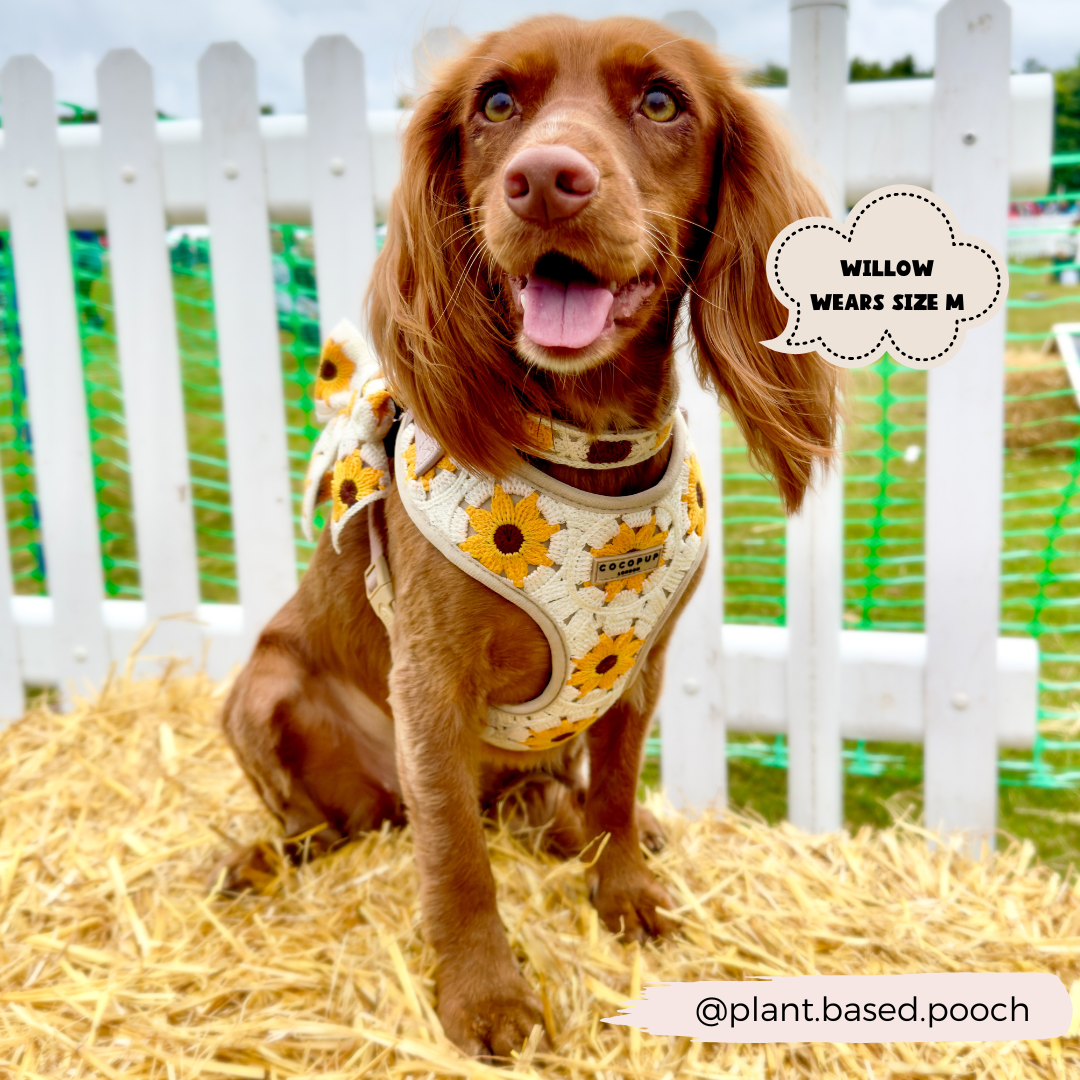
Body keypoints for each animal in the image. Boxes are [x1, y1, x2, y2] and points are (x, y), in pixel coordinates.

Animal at [221, 14, 833, 1062]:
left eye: (662, 100)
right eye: (497, 102)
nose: (545, 179)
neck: (587, 449)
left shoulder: (638, 668)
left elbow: (617, 791)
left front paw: (623, 891)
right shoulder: (430, 686)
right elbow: (456, 859)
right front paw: (484, 997)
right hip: (264, 696)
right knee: (340, 828)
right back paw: (266, 857)